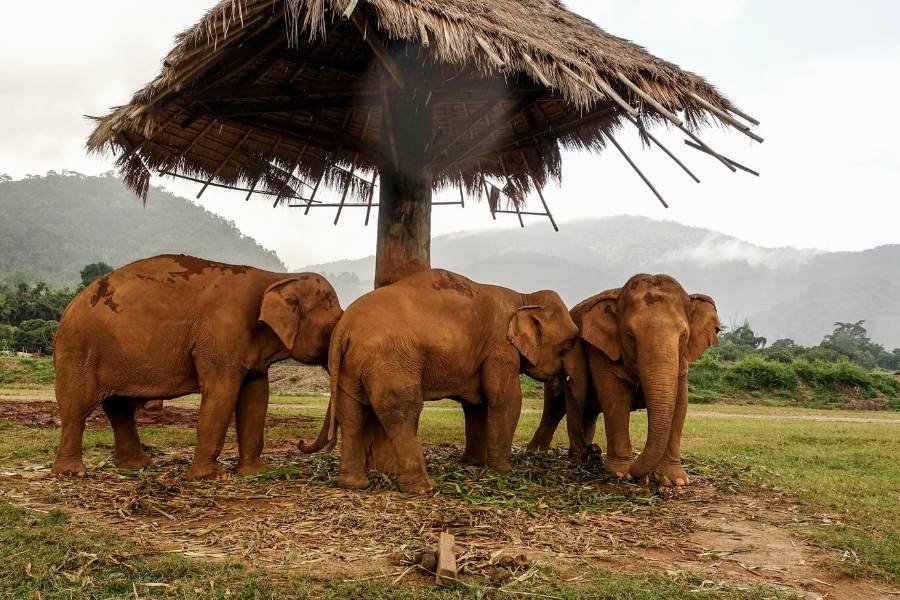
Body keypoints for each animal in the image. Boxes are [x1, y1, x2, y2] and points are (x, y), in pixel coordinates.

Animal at [51, 255, 343, 480]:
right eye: (332, 328)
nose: (300, 443)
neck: (278, 278)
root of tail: (71, 304)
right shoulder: (220, 337)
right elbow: (221, 395)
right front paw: (209, 477)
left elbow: (256, 397)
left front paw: (255, 473)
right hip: (78, 348)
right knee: (77, 405)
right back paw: (72, 473)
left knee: (119, 407)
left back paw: (137, 466)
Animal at [300, 269, 580, 494]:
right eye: (570, 342)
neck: (523, 298)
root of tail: (343, 326)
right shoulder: (500, 349)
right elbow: (505, 399)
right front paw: (502, 472)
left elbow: (476, 404)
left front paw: (472, 463)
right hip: (389, 359)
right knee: (402, 409)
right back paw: (422, 488)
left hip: (350, 366)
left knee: (352, 413)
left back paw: (353, 485)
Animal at [528, 274, 720, 486]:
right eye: (630, 336)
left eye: (683, 336)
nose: (644, 476)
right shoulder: (601, 350)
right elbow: (615, 400)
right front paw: (622, 473)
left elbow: (680, 405)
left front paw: (676, 480)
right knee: (554, 407)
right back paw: (539, 453)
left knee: (588, 412)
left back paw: (582, 456)